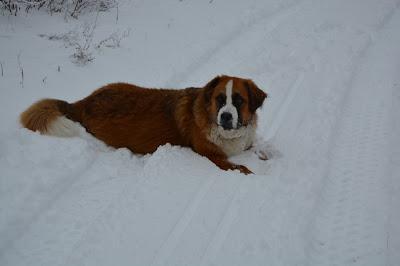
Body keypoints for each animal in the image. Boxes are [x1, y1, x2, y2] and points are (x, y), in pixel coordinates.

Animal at [20, 75, 268, 175]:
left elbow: (258, 148)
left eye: (238, 100)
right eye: (220, 99)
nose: (225, 116)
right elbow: (241, 167)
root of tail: (84, 102)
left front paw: (266, 155)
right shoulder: (213, 156)